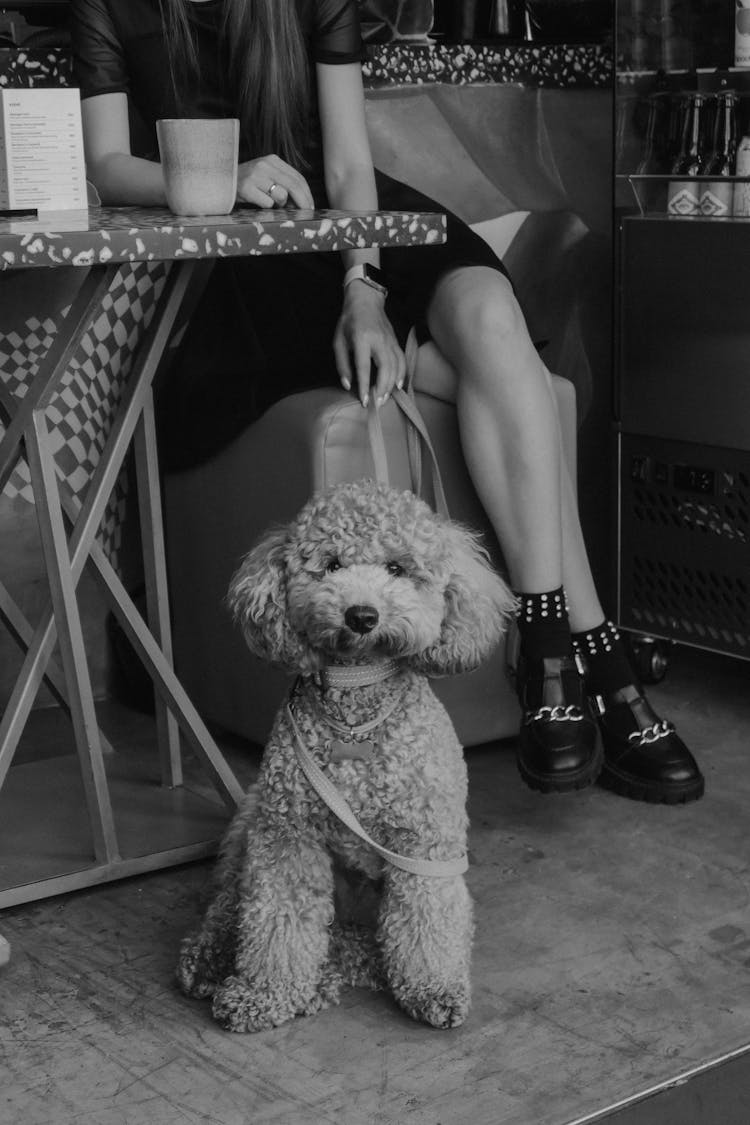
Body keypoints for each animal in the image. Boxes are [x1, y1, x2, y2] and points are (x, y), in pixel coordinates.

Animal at [176, 474, 517, 1030]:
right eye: (332, 564)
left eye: (397, 568)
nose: (362, 615)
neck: (357, 696)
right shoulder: (288, 837)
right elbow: (277, 921)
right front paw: (264, 992)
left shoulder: (424, 845)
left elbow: (427, 919)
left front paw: (435, 988)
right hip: (249, 826)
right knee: (229, 906)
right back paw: (208, 960)